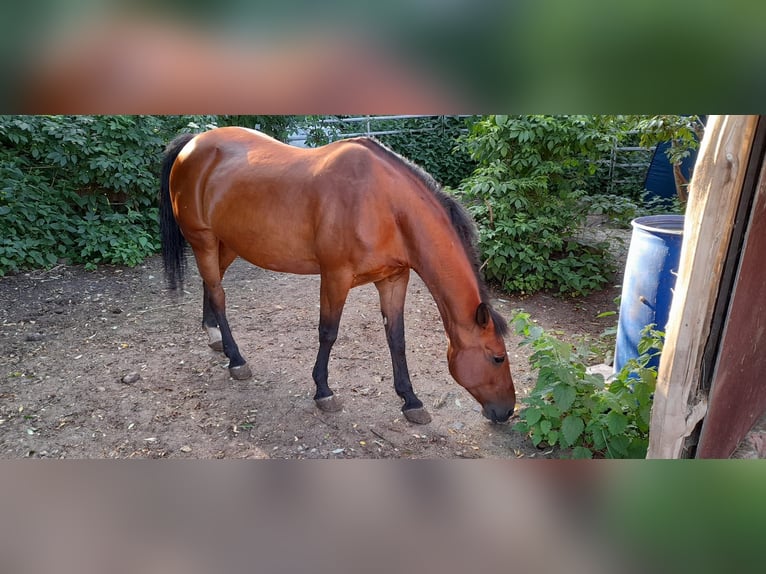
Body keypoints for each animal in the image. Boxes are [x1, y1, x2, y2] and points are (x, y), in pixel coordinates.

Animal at [160, 127, 520, 424]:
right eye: (498, 357)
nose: (506, 413)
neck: (386, 204)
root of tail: (192, 142)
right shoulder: (335, 276)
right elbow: (328, 332)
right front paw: (323, 391)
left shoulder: (394, 279)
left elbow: (397, 338)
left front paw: (411, 400)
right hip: (203, 240)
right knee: (218, 293)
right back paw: (236, 359)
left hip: (229, 244)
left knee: (211, 283)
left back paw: (213, 335)